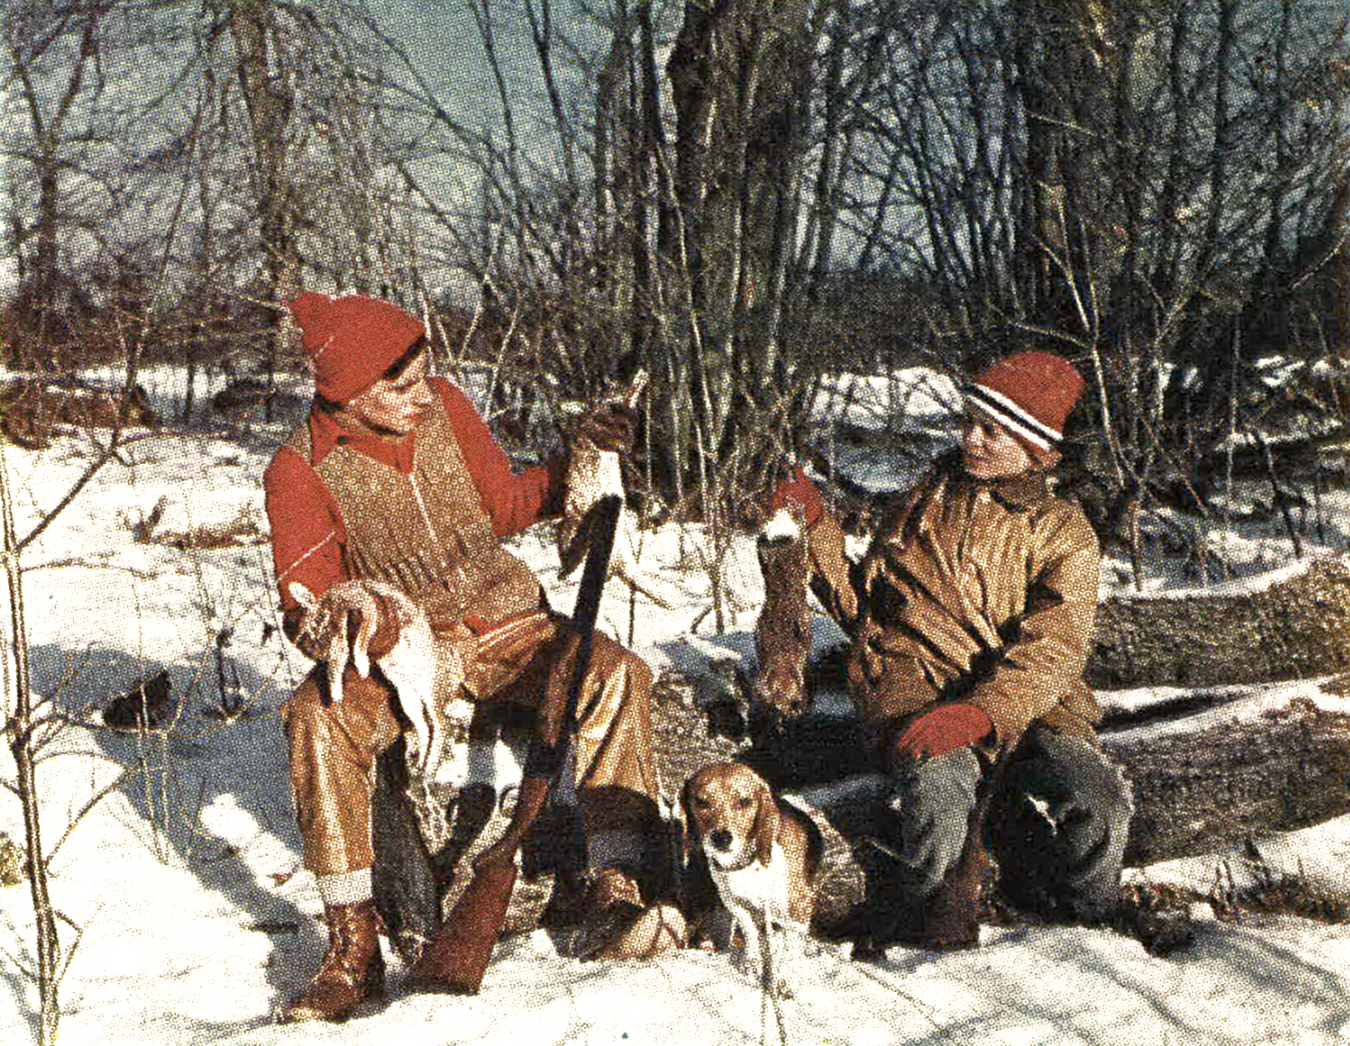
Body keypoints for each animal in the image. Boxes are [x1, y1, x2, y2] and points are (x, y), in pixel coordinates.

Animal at [680, 761, 815, 987]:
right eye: (701, 801)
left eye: (744, 802)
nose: (721, 838)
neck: (747, 863)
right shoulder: (735, 903)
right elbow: (750, 933)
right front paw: (752, 965)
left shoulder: (798, 909)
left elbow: (790, 949)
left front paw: (786, 976)